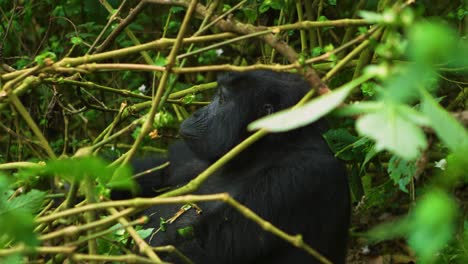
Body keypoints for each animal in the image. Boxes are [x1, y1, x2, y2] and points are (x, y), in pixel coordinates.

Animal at [111, 70, 350, 264]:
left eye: (223, 99)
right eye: (217, 95)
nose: (196, 113)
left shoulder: (299, 176)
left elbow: (199, 249)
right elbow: (154, 173)